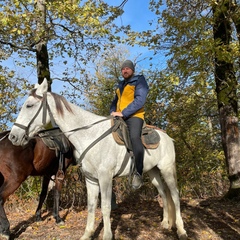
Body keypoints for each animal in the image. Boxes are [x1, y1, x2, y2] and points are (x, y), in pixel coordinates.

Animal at [8, 78, 188, 238]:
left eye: (29, 105)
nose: (13, 137)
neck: (89, 134)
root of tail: (167, 137)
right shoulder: (91, 179)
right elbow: (92, 206)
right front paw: (87, 234)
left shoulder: (105, 178)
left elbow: (106, 207)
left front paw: (107, 235)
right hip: (153, 172)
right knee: (163, 194)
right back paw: (165, 223)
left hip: (167, 170)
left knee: (174, 195)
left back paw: (181, 230)